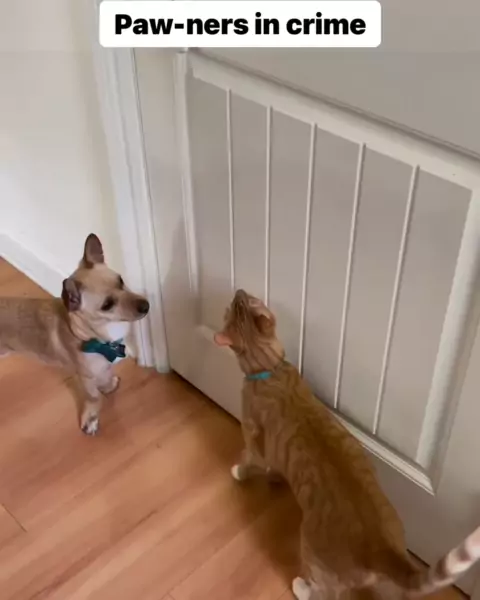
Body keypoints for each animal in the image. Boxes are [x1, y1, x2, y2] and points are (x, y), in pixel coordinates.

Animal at [0, 234, 149, 435]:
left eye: (121, 281)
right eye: (107, 305)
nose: (146, 305)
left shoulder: (102, 367)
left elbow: (106, 374)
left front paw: (108, 386)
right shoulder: (85, 378)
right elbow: (94, 398)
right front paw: (91, 419)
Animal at [214, 289, 480, 600]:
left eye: (233, 307)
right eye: (247, 301)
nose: (238, 291)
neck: (270, 370)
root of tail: (380, 547)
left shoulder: (255, 442)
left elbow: (249, 459)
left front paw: (238, 471)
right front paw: (275, 478)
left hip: (313, 555)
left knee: (323, 592)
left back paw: (300, 587)